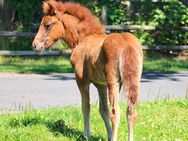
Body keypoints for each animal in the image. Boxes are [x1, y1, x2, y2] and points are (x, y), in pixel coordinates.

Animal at [33, 0, 143, 140]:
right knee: (131, 110)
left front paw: (87, 135)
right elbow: (103, 110)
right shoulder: (101, 84)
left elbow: (86, 106)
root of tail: (126, 44)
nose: (35, 45)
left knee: (115, 112)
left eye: (47, 25)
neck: (84, 38)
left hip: (113, 82)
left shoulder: (82, 80)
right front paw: (107, 136)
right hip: (131, 81)